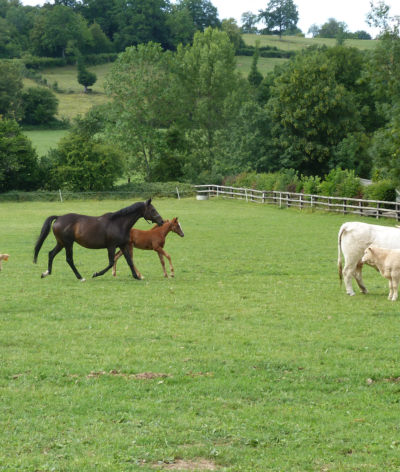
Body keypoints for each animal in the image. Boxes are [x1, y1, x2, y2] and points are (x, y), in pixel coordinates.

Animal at [33, 198, 163, 282]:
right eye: (152, 209)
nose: (161, 221)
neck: (118, 223)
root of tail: (59, 218)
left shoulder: (124, 245)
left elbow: (129, 261)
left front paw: (137, 277)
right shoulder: (111, 246)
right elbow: (111, 263)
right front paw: (96, 274)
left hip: (61, 243)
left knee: (51, 254)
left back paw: (46, 273)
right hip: (68, 244)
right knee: (69, 259)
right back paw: (81, 277)